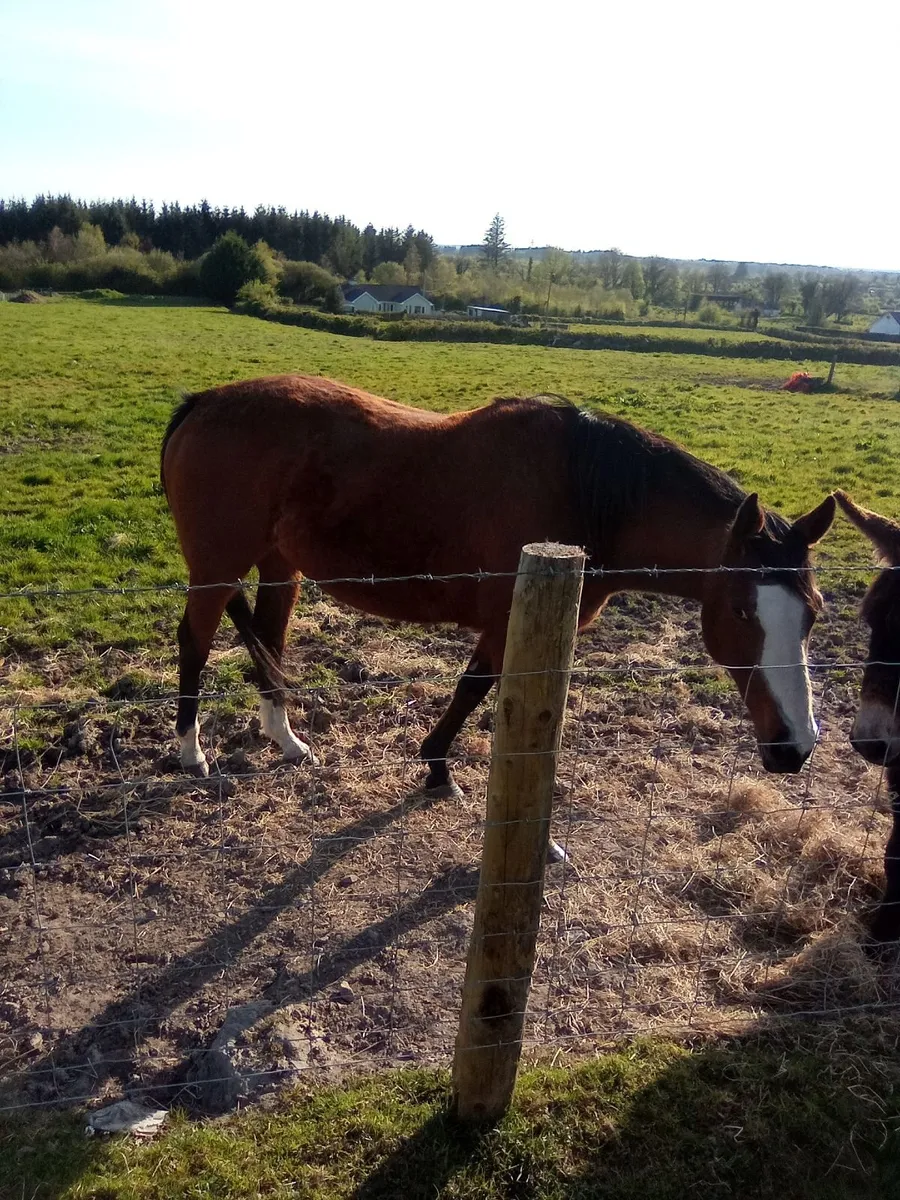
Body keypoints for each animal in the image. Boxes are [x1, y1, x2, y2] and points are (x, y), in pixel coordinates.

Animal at [160, 375, 835, 805]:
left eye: (813, 615)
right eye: (743, 612)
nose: (794, 748)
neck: (586, 492)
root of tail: (202, 402)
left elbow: (474, 688)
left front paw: (435, 767)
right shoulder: (507, 617)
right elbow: (473, 690)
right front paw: (438, 769)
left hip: (281, 566)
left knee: (268, 642)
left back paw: (288, 741)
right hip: (217, 569)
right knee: (194, 643)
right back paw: (193, 754)